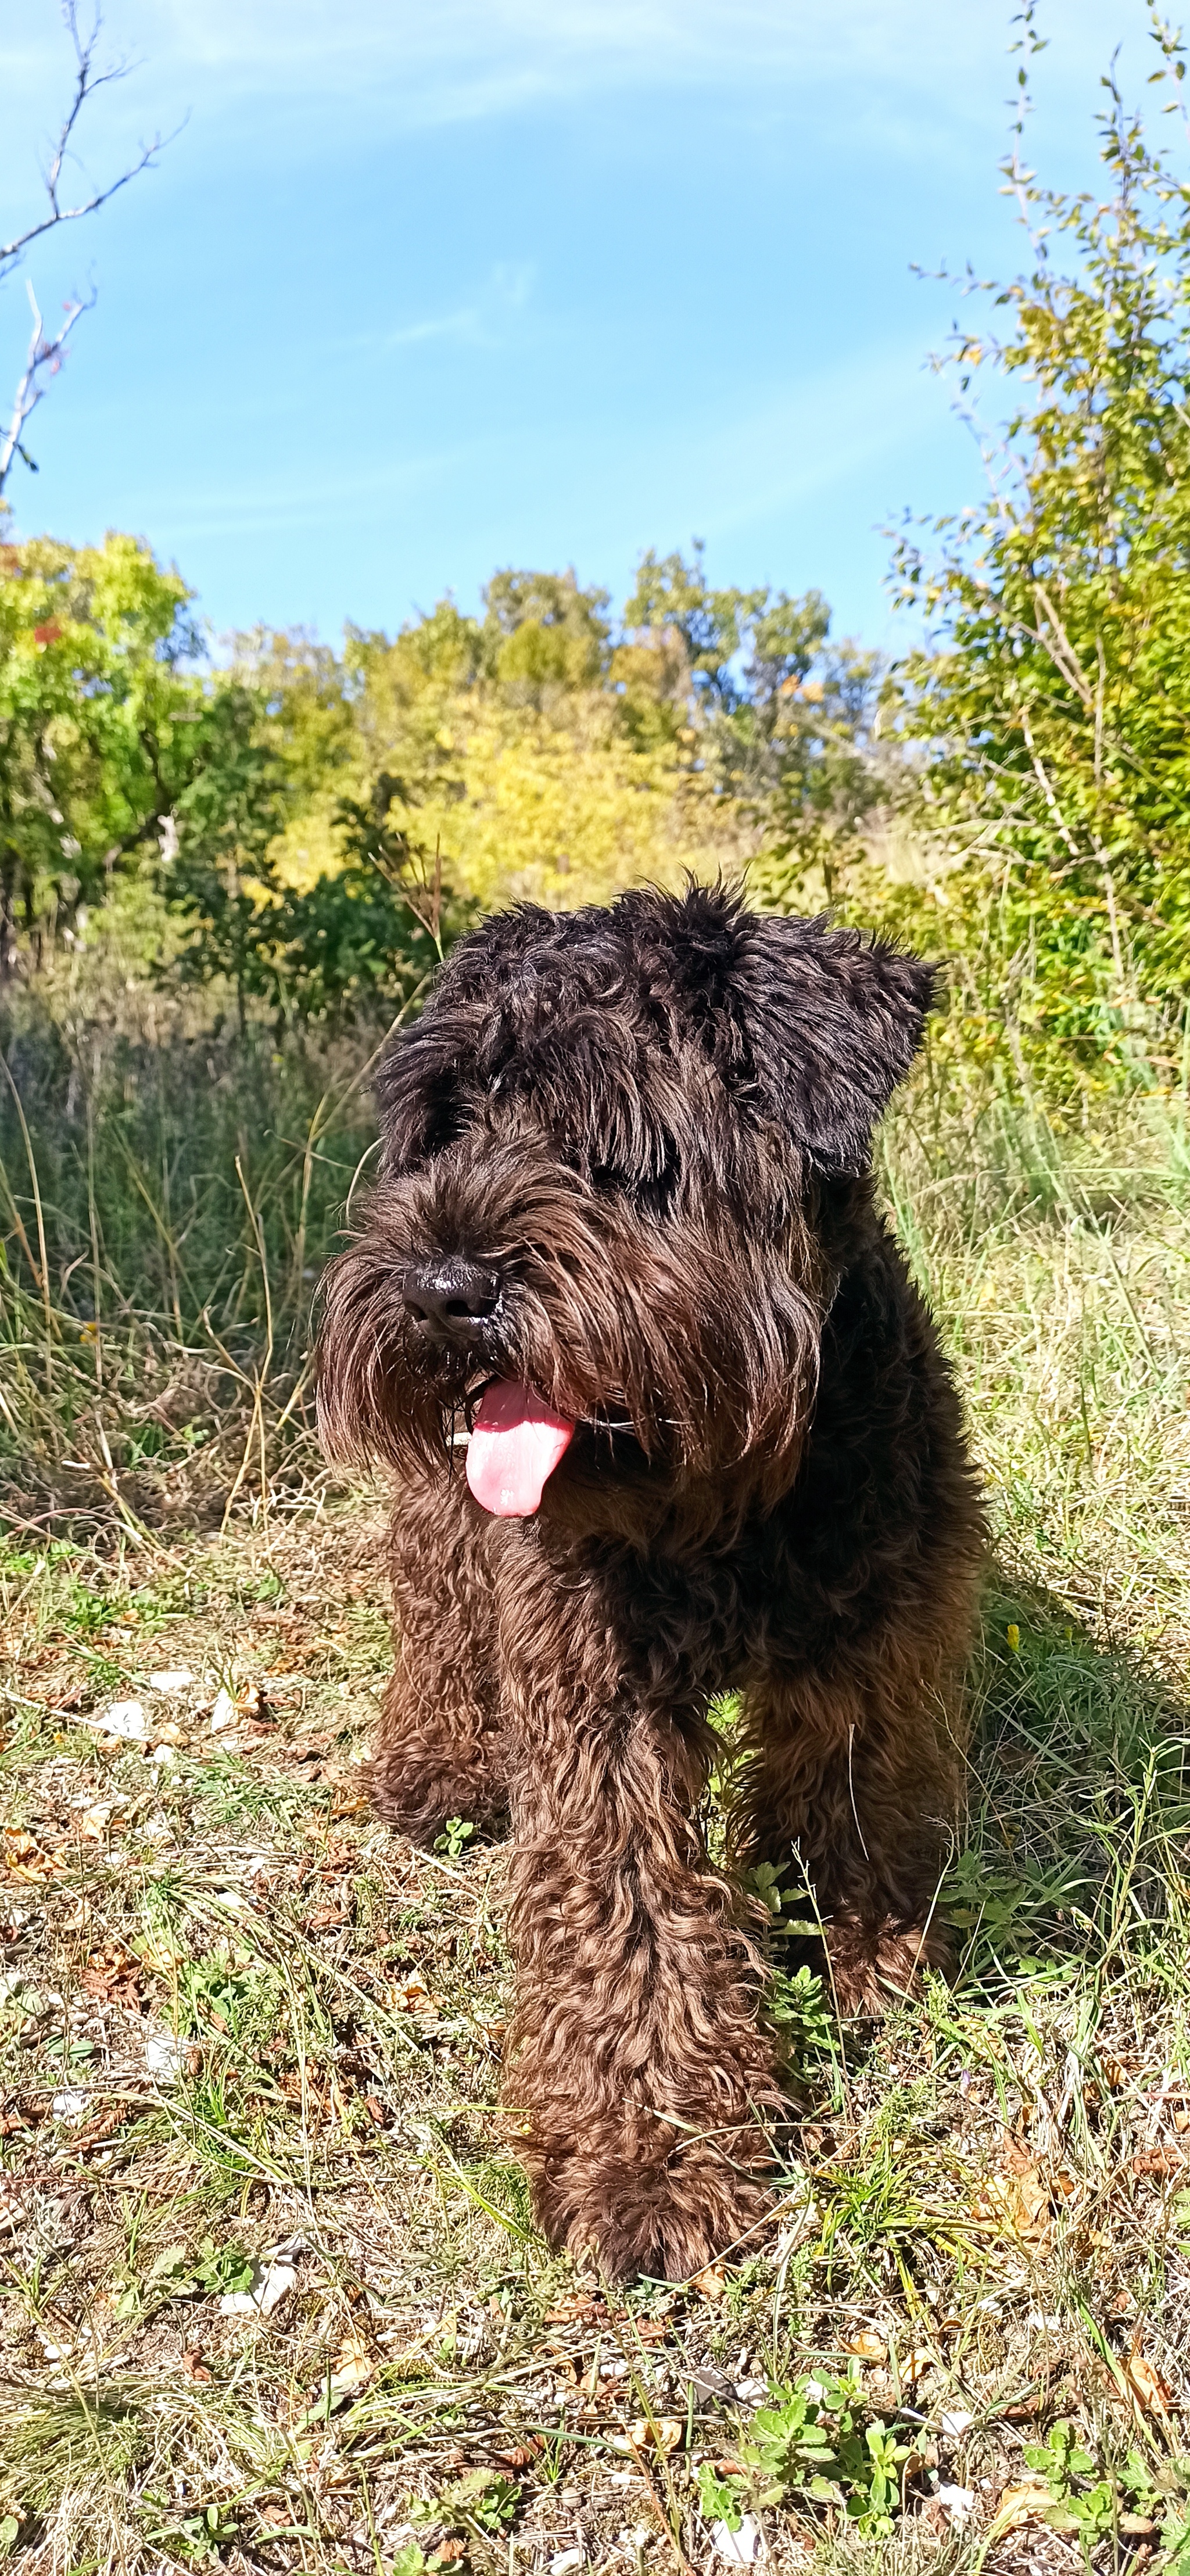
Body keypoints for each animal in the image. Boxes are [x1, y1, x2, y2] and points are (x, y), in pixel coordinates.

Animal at [318, 881, 984, 2277]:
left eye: (612, 1137)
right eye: (446, 1123)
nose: (443, 1286)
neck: (724, 1496)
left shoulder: (877, 1629)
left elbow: (852, 1794)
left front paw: (862, 1946)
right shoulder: (595, 1697)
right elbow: (624, 1907)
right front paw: (653, 2158)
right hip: (447, 1529)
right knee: (435, 1611)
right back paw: (438, 1764)